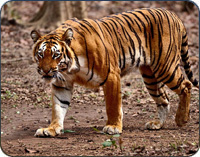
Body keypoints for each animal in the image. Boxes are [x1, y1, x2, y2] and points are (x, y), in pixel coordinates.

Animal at [30, 7, 198, 137]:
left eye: (55, 55)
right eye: (41, 54)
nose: (45, 71)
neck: (69, 67)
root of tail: (173, 15)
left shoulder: (111, 75)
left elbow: (113, 105)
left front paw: (113, 127)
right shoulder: (61, 83)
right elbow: (58, 107)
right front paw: (52, 129)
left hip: (165, 67)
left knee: (186, 85)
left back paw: (181, 119)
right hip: (150, 76)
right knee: (164, 99)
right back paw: (157, 124)